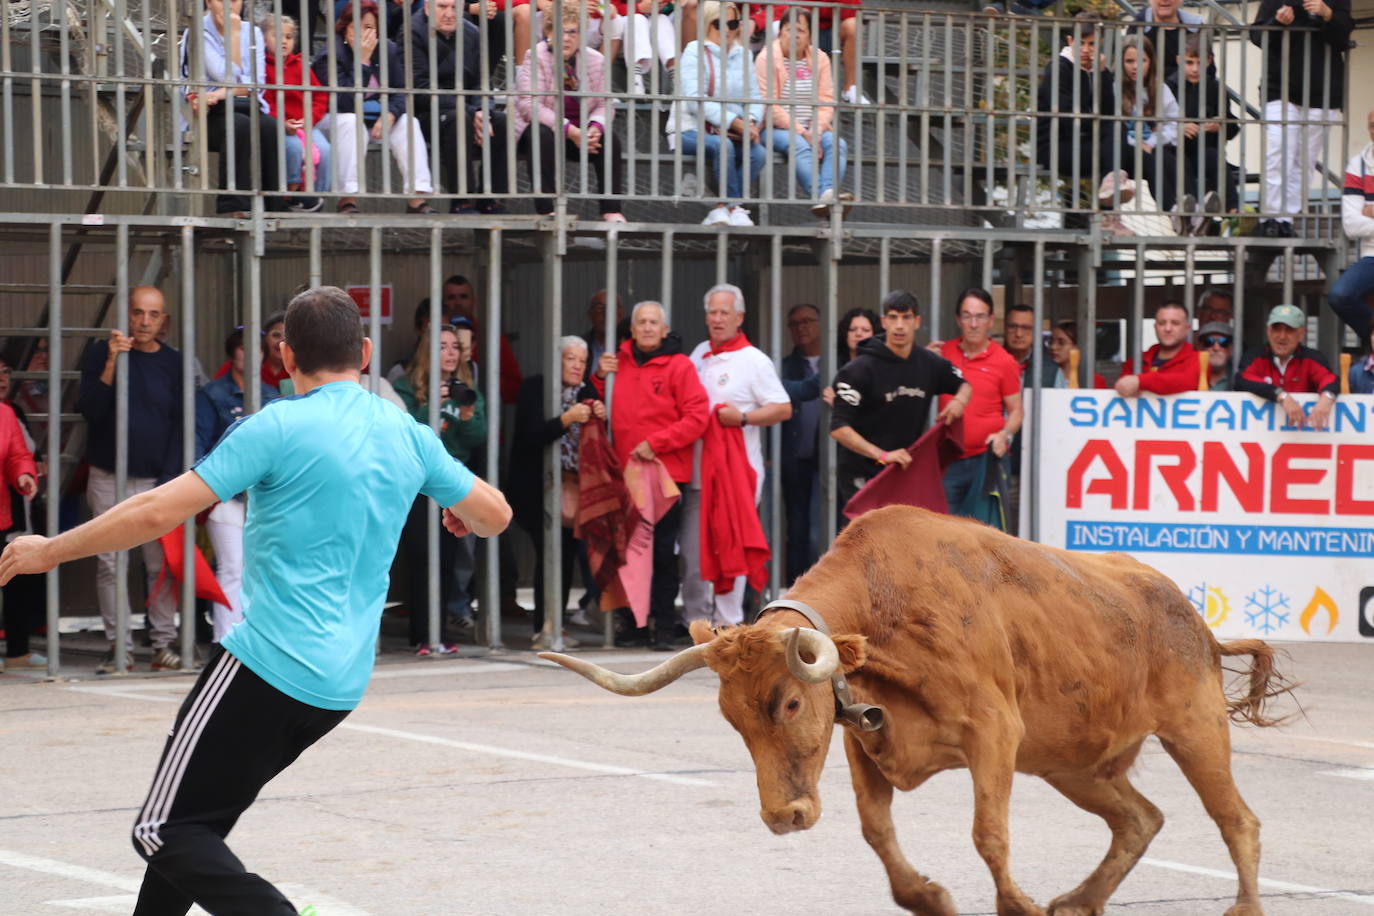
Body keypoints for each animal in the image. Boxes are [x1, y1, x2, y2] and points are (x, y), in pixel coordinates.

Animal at [541, 508, 1291, 916]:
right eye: (732, 718)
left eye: (790, 701)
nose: (785, 817)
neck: (887, 606)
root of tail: (1188, 613)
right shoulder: (863, 741)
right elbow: (877, 832)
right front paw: (929, 896)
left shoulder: (995, 734)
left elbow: (988, 834)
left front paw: (1014, 903)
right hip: (1072, 763)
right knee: (1140, 819)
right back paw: (1081, 898)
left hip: (1194, 727)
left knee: (1238, 820)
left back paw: (1244, 903)